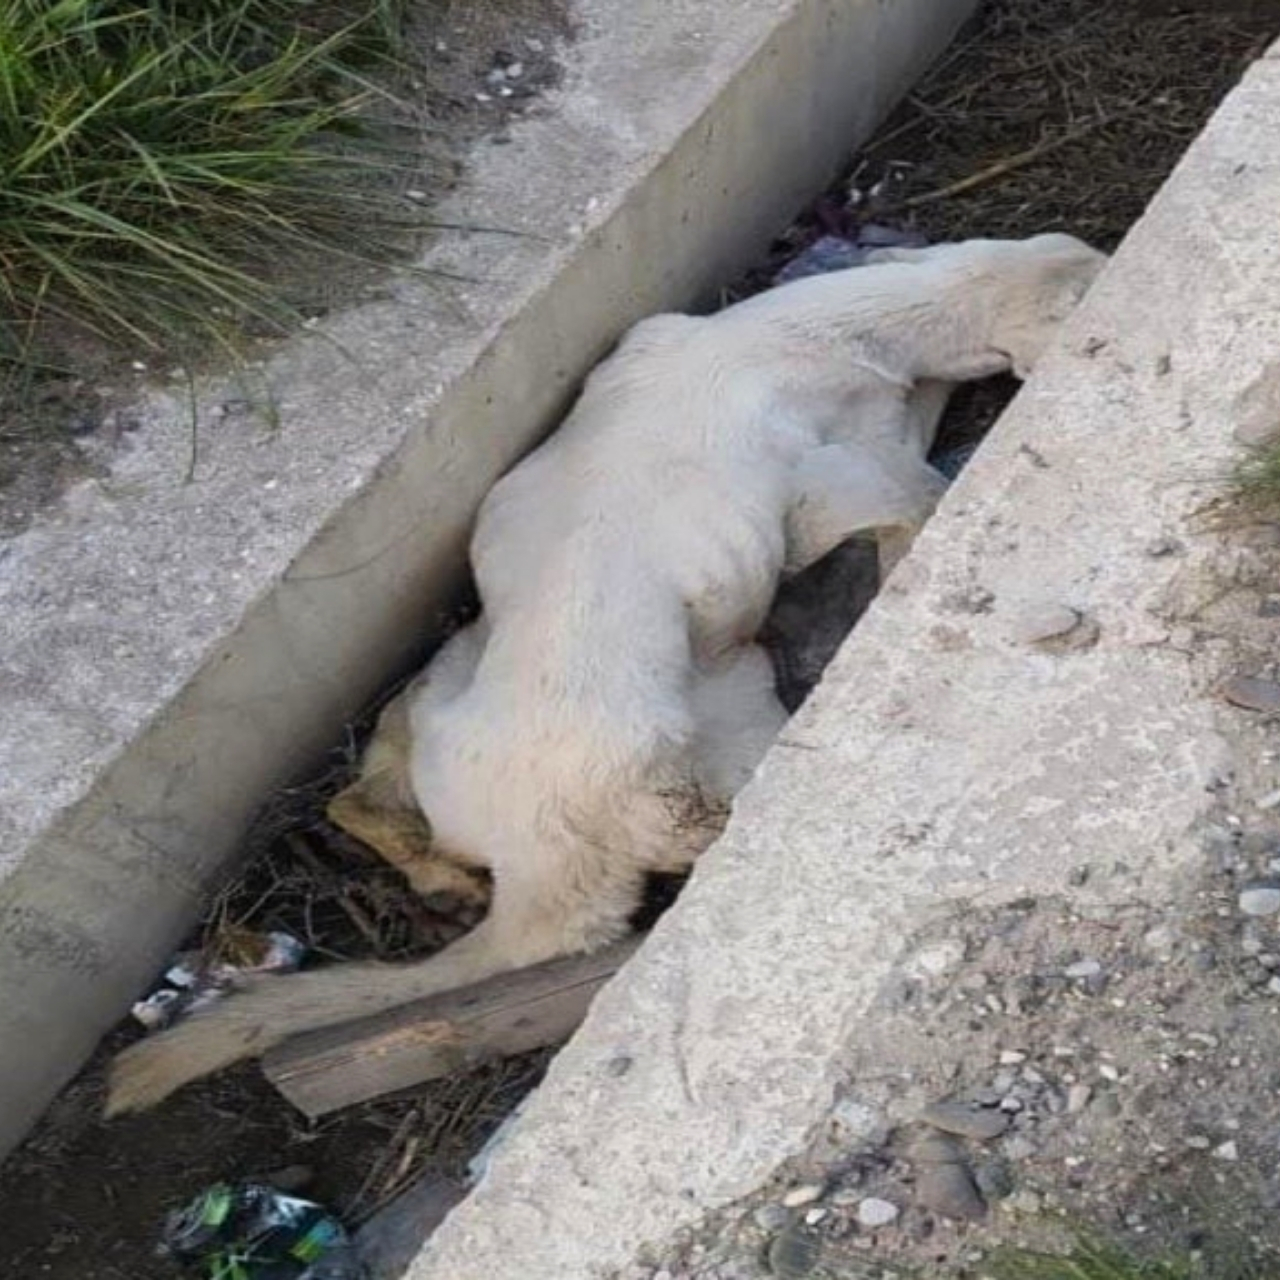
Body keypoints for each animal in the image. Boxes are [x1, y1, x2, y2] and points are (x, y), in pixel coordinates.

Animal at [106, 234, 1105, 1115]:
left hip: (448, 681)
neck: (817, 326)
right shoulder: (842, 476)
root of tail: (535, 874)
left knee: (366, 793)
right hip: (711, 732)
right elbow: (902, 493)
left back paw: (437, 878)